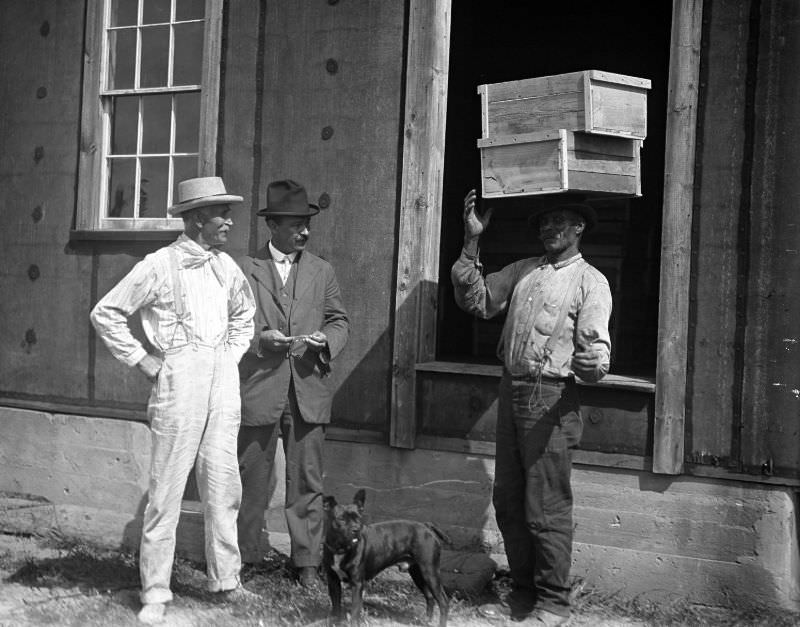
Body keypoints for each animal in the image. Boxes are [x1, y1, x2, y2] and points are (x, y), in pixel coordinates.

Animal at [324, 490, 450, 627]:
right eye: (341, 519)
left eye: (358, 518)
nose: (356, 529)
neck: (341, 548)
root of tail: (427, 526)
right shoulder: (333, 581)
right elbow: (336, 607)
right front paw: (334, 622)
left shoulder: (357, 584)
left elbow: (354, 613)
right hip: (418, 574)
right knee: (429, 597)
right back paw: (427, 620)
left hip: (430, 572)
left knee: (443, 602)